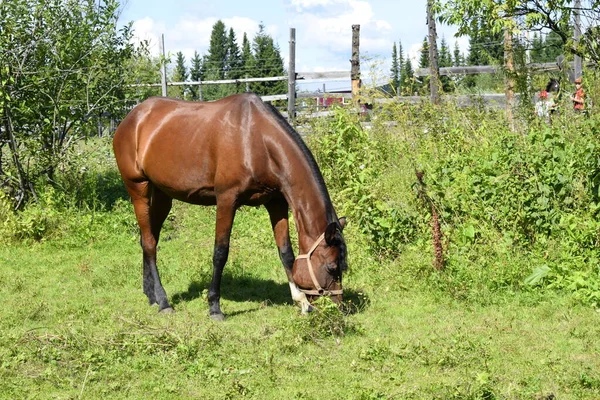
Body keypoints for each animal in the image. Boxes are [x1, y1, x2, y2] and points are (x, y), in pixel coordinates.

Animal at [112, 92, 346, 320]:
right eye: (332, 267)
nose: (339, 309)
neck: (257, 140)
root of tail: (132, 118)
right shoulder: (226, 200)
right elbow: (220, 253)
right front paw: (214, 307)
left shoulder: (276, 202)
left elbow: (286, 252)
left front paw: (302, 302)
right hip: (138, 188)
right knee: (150, 243)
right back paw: (163, 301)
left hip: (162, 195)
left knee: (148, 238)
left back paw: (150, 294)